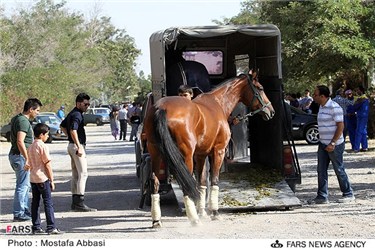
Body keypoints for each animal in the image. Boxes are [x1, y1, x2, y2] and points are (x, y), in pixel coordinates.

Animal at [144, 73, 276, 229]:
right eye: (260, 88)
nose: (271, 111)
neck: (218, 103)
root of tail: (161, 108)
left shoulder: (201, 155)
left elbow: (201, 182)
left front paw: (202, 212)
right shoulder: (218, 151)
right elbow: (214, 180)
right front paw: (214, 212)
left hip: (156, 154)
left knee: (155, 182)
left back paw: (157, 220)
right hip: (185, 157)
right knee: (185, 183)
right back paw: (194, 219)